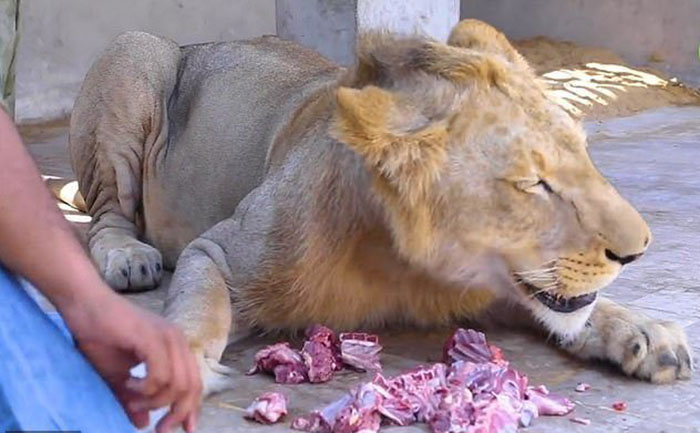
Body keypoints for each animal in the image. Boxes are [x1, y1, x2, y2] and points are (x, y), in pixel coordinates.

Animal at [68, 20, 692, 394]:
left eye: (585, 155)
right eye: (532, 183)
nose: (639, 251)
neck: (399, 263)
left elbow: (574, 308)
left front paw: (641, 329)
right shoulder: (217, 251)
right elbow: (202, 309)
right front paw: (181, 366)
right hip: (134, 52)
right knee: (105, 217)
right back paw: (128, 256)